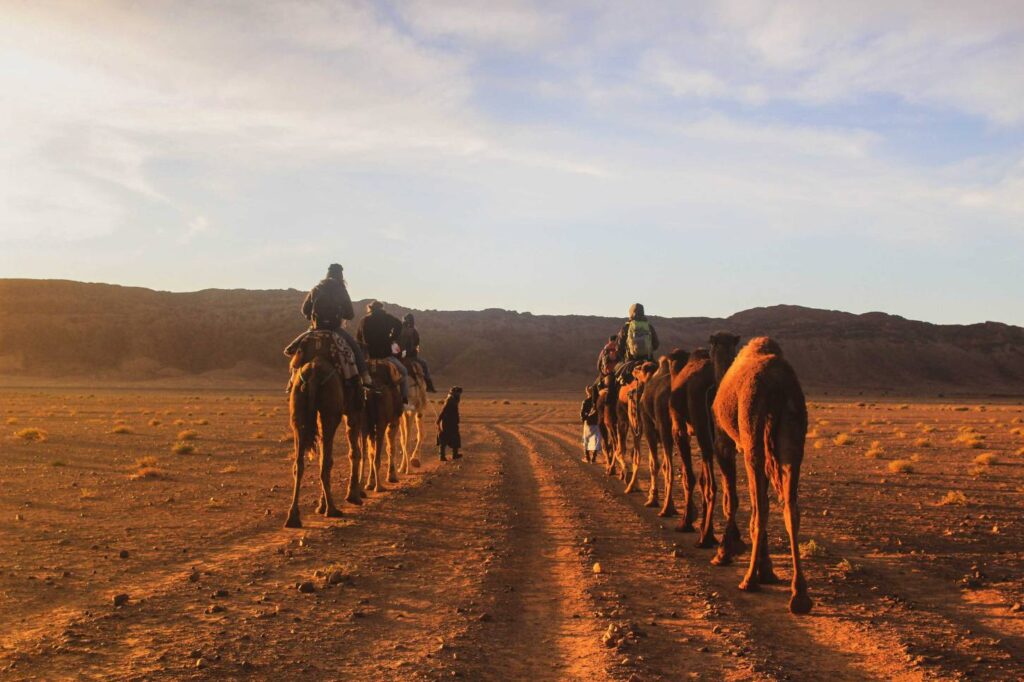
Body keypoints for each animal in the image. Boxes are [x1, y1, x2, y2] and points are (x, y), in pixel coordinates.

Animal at [286, 331, 362, 528]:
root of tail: (312, 373)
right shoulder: (353, 412)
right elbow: (354, 452)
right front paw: (353, 496)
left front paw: (320, 505)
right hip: (331, 413)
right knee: (326, 460)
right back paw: (332, 509)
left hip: (298, 413)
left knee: (299, 463)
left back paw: (293, 516)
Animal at [360, 358, 403, 491]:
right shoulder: (393, 421)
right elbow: (391, 448)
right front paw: (392, 476)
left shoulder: (370, 426)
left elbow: (371, 452)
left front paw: (370, 482)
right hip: (381, 423)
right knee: (377, 455)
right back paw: (378, 487)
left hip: (364, 424)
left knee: (364, 454)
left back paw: (363, 485)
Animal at [634, 356, 684, 516]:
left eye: (641, 368)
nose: (634, 369)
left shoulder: (650, 427)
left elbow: (654, 464)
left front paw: (652, 499)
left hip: (664, 428)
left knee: (669, 467)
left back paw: (667, 509)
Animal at [663, 329, 745, 561]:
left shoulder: (679, 429)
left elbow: (691, 478)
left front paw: (686, 522)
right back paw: (729, 539)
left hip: (701, 429)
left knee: (710, 484)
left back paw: (706, 538)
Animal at [716, 333, 811, 610]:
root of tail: (777, 387)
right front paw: (767, 570)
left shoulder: (726, 441)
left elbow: (732, 498)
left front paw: (725, 552)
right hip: (792, 437)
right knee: (790, 509)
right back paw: (800, 595)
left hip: (753, 439)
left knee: (760, 510)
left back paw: (749, 580)